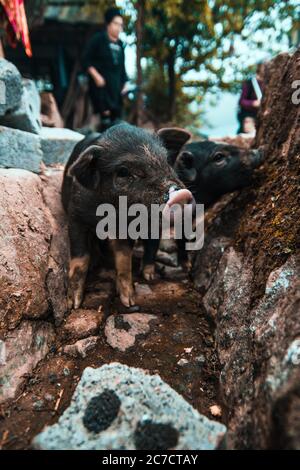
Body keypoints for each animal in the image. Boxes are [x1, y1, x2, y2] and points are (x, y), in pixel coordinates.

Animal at [61, 123, 192, 310]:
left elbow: (124, 257)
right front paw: (74, 304)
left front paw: (129, 302)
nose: (181, 195)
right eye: (123, 172)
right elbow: (80, 258)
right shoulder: (76, 217)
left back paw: (148, 275)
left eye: (167, 160)